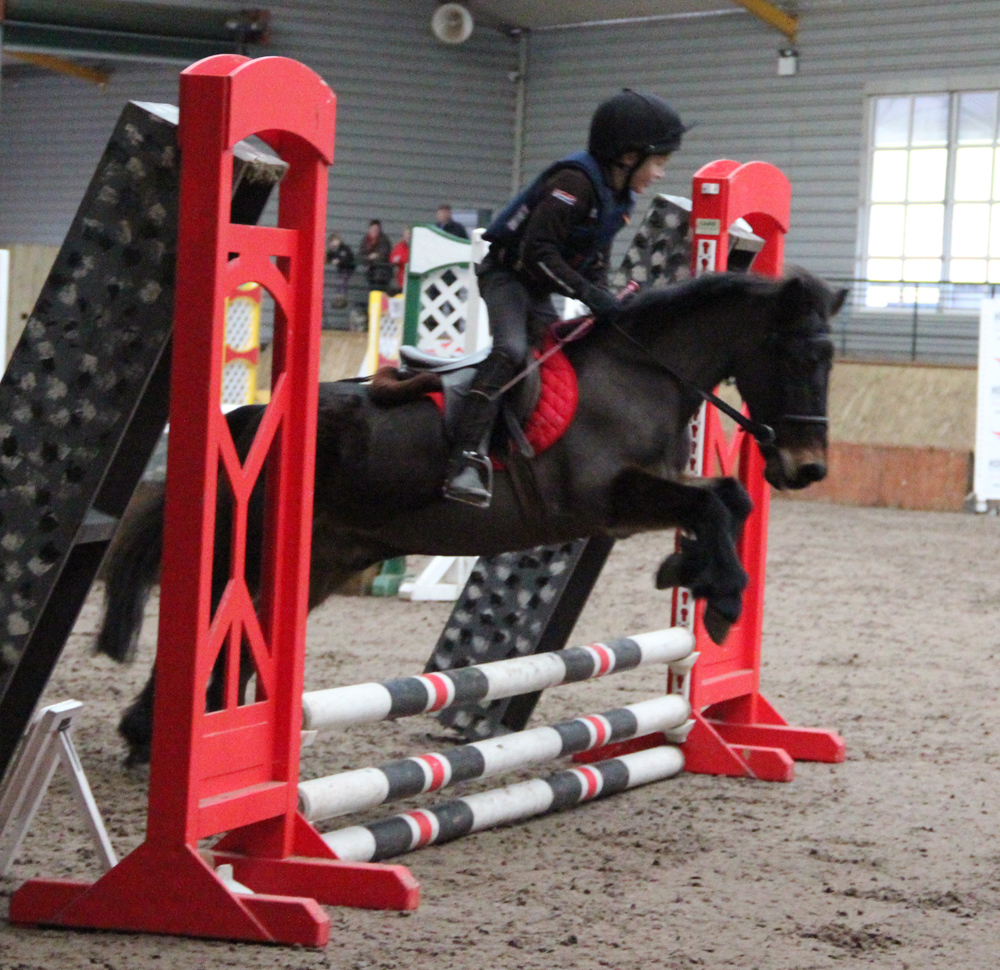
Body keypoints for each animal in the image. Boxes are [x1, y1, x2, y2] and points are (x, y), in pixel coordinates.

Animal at [95, 268, 844, 760]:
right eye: (795, 353)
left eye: (831, 358)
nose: (807, 468)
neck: (643, 372)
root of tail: (249, 418)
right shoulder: (609, 499)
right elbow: (713, 501)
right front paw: (718, 597)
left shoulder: (647, 490)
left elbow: (728, 498)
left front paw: (698, 578)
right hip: (257, 553)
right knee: (219, 632)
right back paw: (165, 737)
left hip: (317, 563)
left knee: (243, 642)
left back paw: (182, 733)